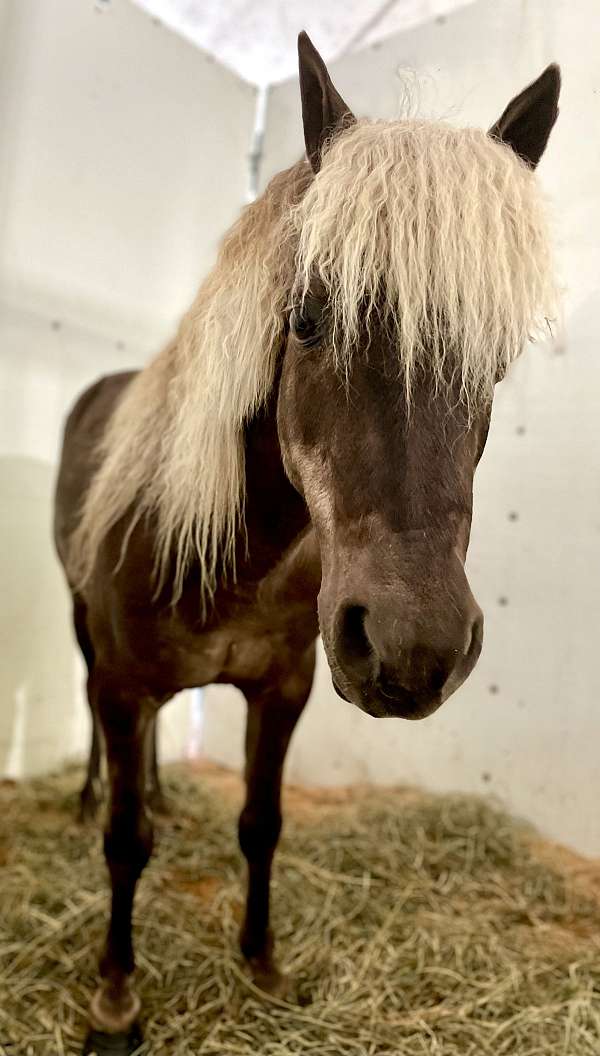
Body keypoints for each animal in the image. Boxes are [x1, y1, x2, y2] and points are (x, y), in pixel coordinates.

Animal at [53, 35, 561, 1056]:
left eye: (496, 359)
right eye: (309, 317)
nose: (414, 647)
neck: (228, 558)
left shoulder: (281, 690)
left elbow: (262, 822)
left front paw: (262, 963)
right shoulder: (123, 684)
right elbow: (125, 844)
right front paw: (116, 998)